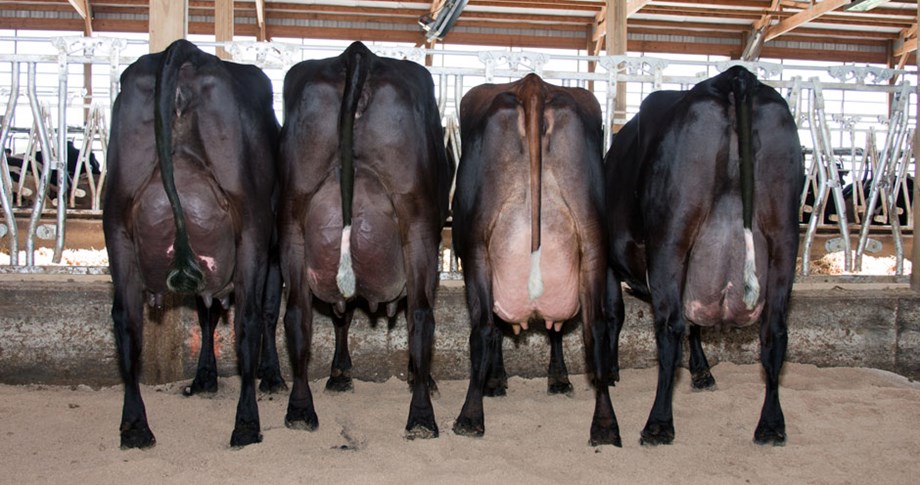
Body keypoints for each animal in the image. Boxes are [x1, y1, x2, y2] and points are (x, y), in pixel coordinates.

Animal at [104, 39, 284, 448]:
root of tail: (186, 52)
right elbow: (262, 310)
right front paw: (271, 376)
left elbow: (206, 312)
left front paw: (205, 377)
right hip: (252, 224)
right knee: (249, 318)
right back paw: (246, 423)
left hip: (117, 221)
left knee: (126, 320)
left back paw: (135, 426)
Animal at [278, 40, 454, 434]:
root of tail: (357, 54)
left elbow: (340, 314)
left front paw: (338, 374)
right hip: (417, 222)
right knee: (421, 315)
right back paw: (422, 416)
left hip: (294, 219)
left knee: (297, 314)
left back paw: (300, 410)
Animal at [452, 73, 620, 446]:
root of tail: (533, 84)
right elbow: (555, 326)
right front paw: (558, 378)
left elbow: (501, 327)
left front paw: (495, 380)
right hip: (593, 240)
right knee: (596, 328)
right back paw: (605, 424)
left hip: (476, 245)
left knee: (483, 328)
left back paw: (469, 416)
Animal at [608, 65, 800, 446]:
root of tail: (734, 76)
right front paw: (702, 371)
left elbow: (614, 314)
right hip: (784, 234)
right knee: (774, 332)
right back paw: (771, 425)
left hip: (671, 234)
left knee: (670, 327)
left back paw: (658, 424)